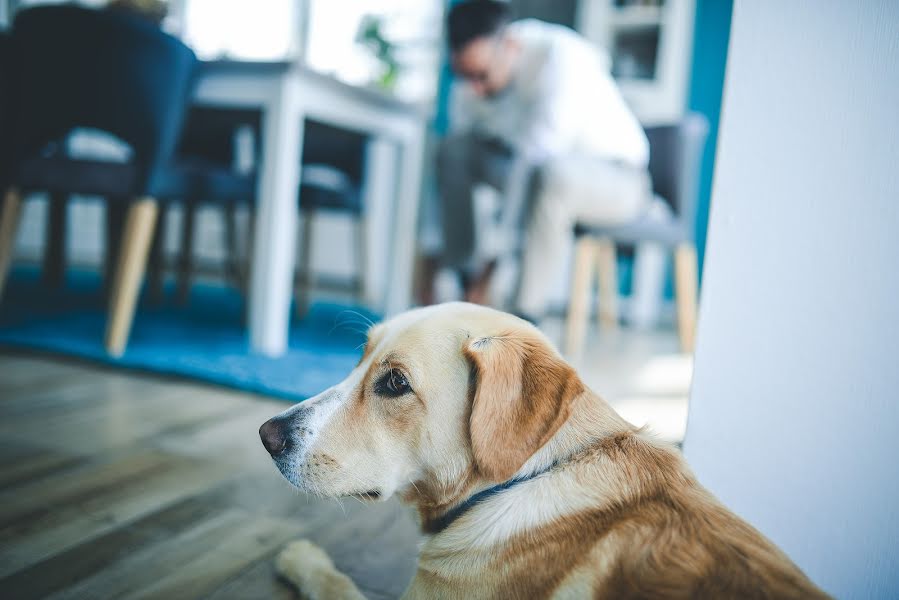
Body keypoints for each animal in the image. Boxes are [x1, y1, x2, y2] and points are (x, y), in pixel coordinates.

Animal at [256, 304, 828, 600]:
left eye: (395, 382)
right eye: (360, 358)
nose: (267, 434)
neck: (519, 479)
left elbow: (337, 585)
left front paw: (303, 557)